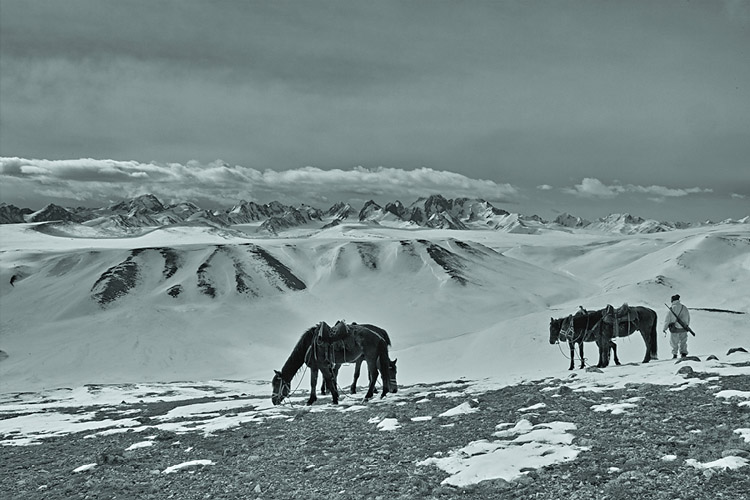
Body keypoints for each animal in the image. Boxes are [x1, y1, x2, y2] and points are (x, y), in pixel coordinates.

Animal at [272, 320, 400, 406]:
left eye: (277, 384)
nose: (274, 401)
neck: (309, 345)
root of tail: (379, 337)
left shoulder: (322, 365)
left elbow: (329, 379)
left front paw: (334, 398)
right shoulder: (315, 367)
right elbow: (313, 382)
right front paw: (311, 400)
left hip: (370, 358)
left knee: (374, 374)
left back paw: (367, 396)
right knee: (379, 374)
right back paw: (381, 393)